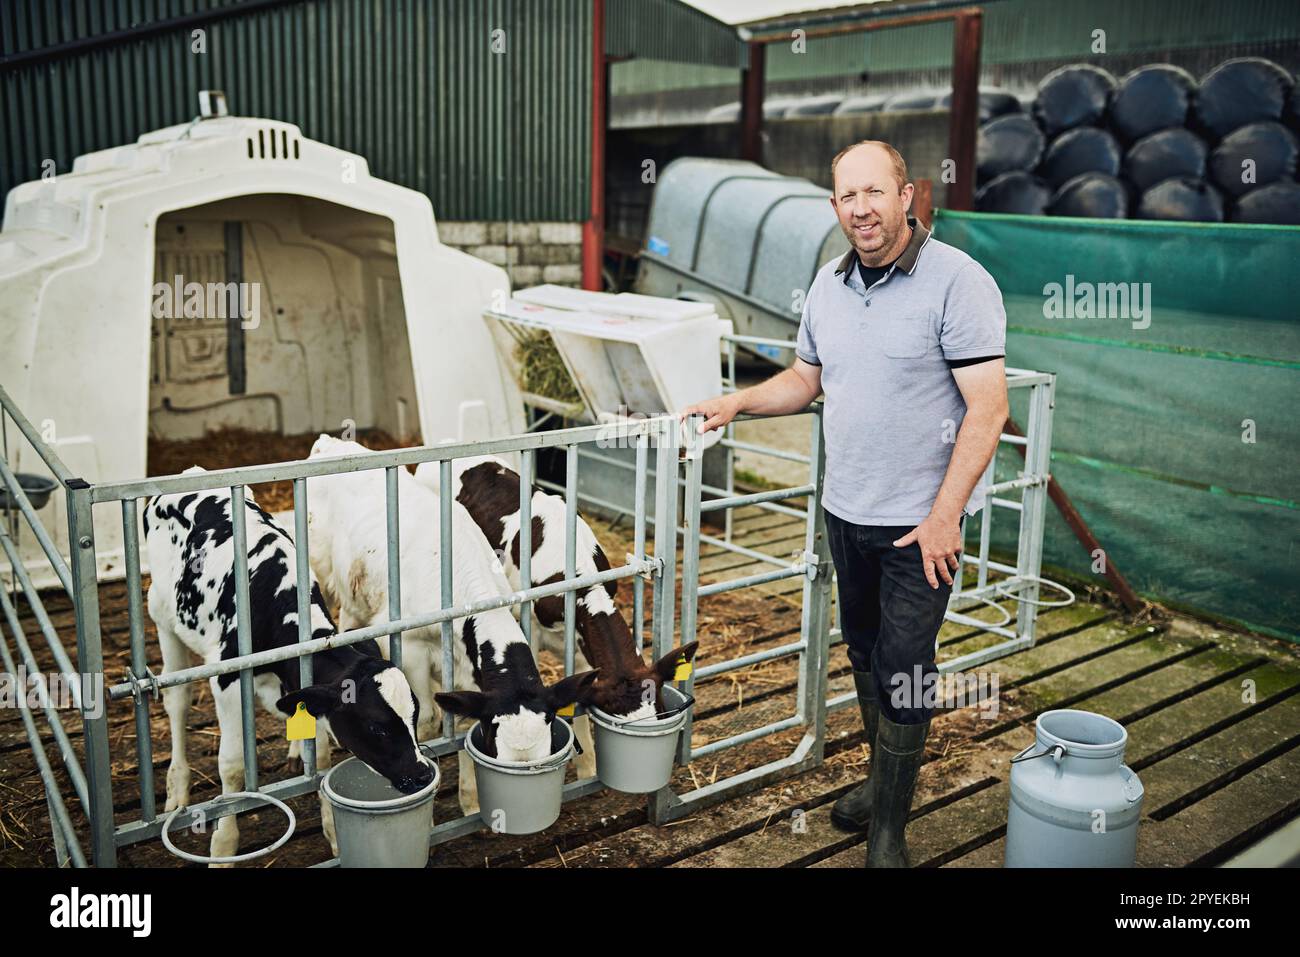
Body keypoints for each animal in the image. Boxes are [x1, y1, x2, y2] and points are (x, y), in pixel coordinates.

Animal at [144, 473, 431, 868]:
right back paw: (177, 787)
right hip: (161, 614)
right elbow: (232, 765)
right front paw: (223, 848)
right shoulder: (227, 679)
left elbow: (319, 752)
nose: (422, 774)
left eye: (414, 715)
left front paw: (333, 831)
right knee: (177, 698)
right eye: (376, 726)